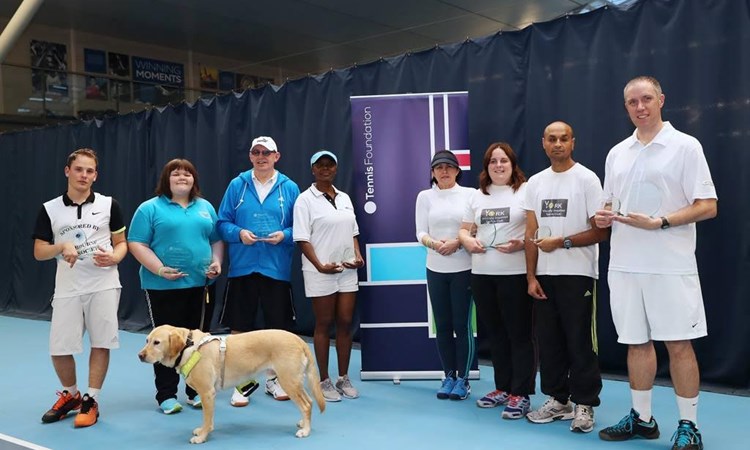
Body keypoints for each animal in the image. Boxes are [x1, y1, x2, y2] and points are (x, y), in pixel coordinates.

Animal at [139, 324, 326, 442]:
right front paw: (201, 432)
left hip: (289, 382)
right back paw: (303, 423)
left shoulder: (207, 393)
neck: (188, 347)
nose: (140, 356)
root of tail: (299, 340)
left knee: (306, 405)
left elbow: (207, 420)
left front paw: (202, 437)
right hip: (294, 382)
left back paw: (305, 431)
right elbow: (206, 419)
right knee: (309, 402)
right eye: (146, 340)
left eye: (157, 342)